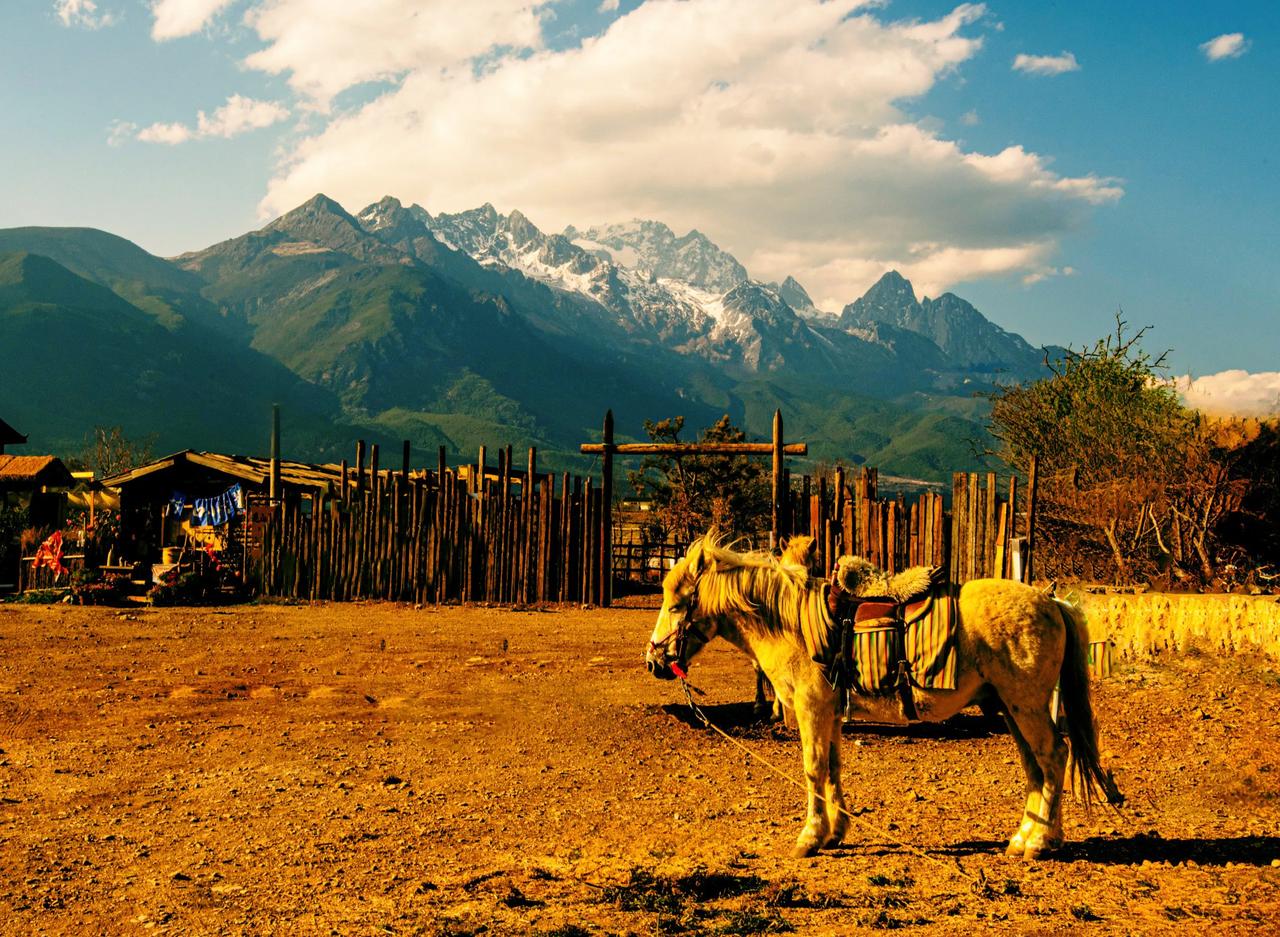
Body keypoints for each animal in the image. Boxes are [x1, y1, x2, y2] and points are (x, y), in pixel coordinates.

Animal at [645, 529, 1116, 860]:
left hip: (1027, 705)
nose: (653, 660)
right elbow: (833, 768)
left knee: (1054, 755)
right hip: (1008, 707)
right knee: (1036, 765)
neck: (794, 624)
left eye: (676, 603)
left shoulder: (811, 709)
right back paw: (1025, 837)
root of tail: (1052, 602)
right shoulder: (830, 713)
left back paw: (1040, 842)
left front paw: (809, 838)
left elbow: (813, 769)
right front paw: (835, 833)